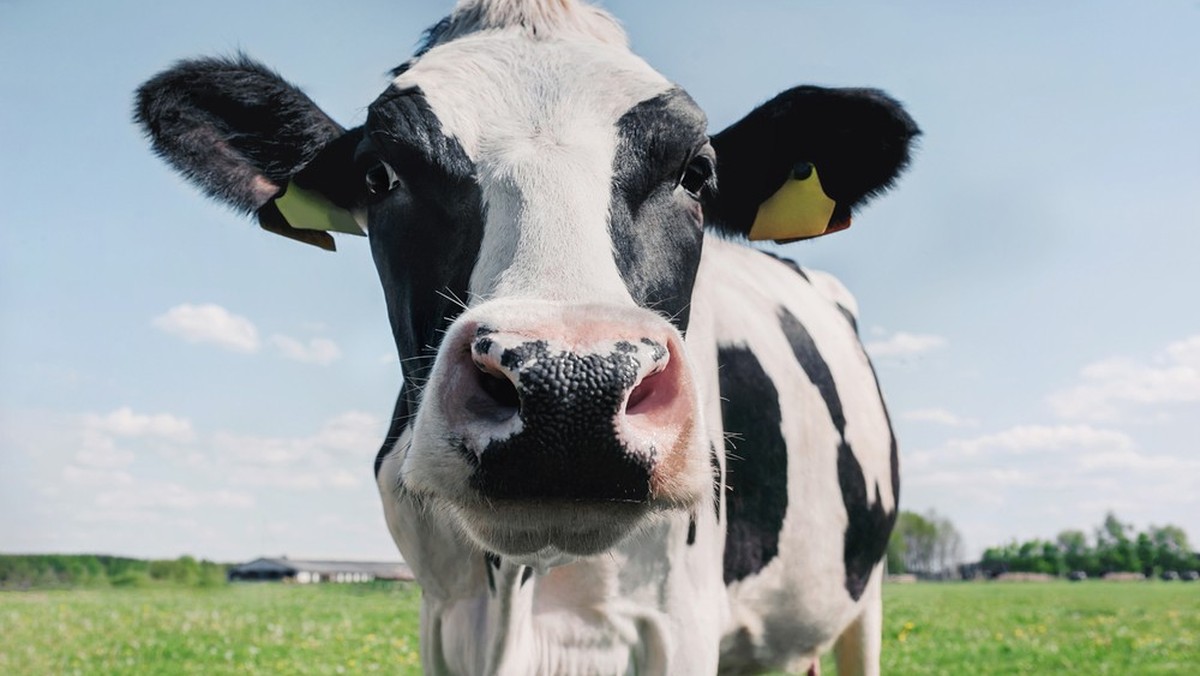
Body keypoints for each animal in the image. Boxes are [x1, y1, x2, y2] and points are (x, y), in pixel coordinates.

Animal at [134, 1, 917, 673]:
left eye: (697, 173)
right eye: (381, 174)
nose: (571, 390)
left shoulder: (677, 619)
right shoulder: (443, 616)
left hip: (865, 597)